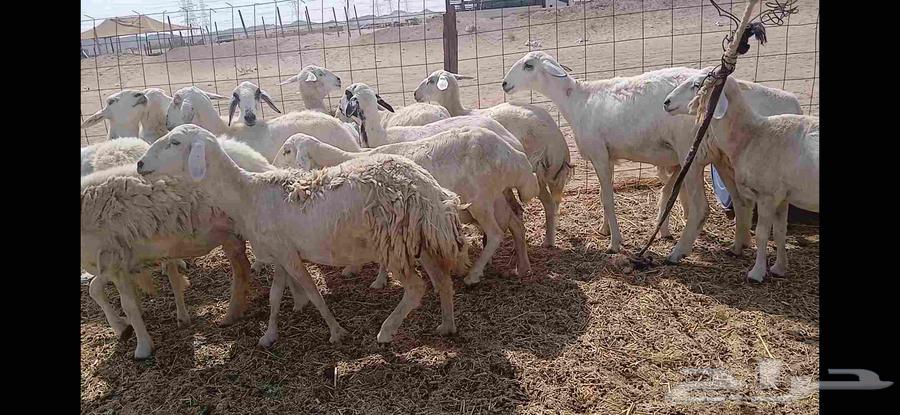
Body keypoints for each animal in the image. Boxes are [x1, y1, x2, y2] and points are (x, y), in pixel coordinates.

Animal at [137, 124, 470, 346]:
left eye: (175, 142)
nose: (140, 164)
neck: (248, 194)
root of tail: (427, 189)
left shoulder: (289, 255)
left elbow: (313, 292)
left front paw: (336, 331)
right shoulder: (280, 255)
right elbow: (274, 297)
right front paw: (269, 335)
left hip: (392, 244)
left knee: (415, 288)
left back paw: (386, 331)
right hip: (417, 239)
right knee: (442, 281)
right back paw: (447, 326)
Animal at [274, 126, 540, 286]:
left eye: (287, 150)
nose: (273, 166)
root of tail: (515, 156)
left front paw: (376, 279)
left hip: (481, 200)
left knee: (495, 233)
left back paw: (473, 275)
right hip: (496, 197)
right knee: (516, 224)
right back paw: (523, 267)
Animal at [414, 69, 573, 247]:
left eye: (431, 81)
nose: (415, 94)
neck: (462, 111)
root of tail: (557, 140)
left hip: (535, 168)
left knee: (548, 203)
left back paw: (548, 241)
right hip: (551, 172)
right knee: (554, 202)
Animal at [501, 51, 803, 262]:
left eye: (528, 66)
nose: (504, 84)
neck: (577, 101)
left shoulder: (599, 154)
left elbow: (608, 198)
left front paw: (614, 243)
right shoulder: (609, 157)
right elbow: (603, 195)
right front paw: (605, 230)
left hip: (690, 151)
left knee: (702, 208)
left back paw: (678, 253)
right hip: (722, 157)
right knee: (741, 201)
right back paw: (738, 246)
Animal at [664, 72, 818, 282]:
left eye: (697, 85)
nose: (666, 102)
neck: (752, 134)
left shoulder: (767, 194)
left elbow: (762, 235)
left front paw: (757, 273)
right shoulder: (782, 196)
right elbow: (780, 232)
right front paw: (779, 268)